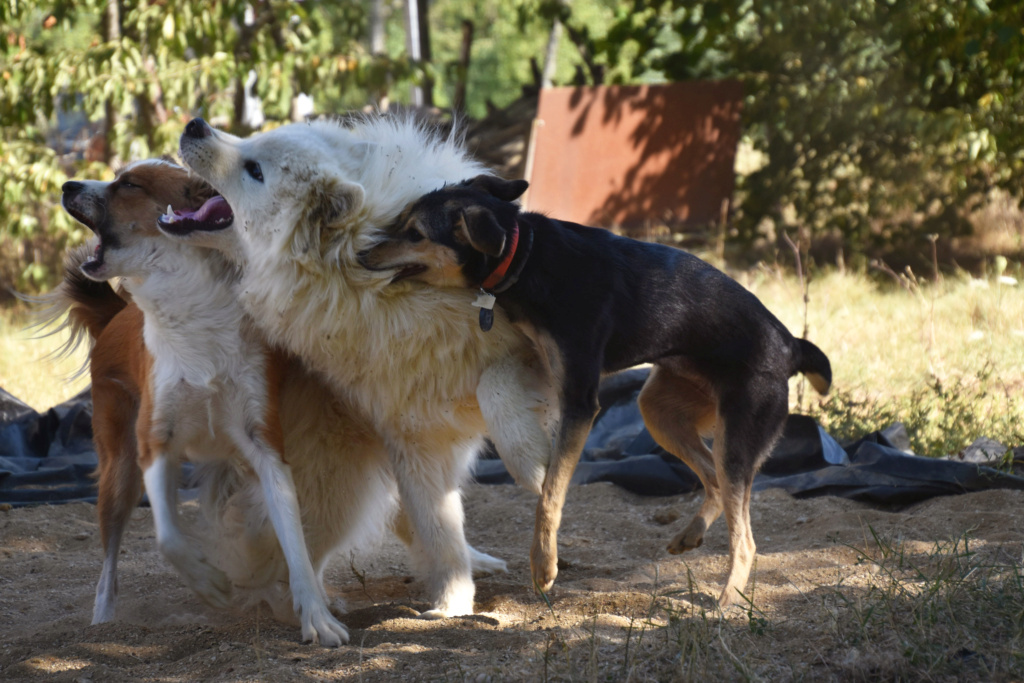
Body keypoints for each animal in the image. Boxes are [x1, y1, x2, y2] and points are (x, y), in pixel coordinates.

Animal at [175, 117, 552, 618]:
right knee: (291, 552)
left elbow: (495, 387)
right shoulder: (414, 437)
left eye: (255, 168)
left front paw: (532, 467)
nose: (195, 124)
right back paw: (318, 606)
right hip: (338, 481)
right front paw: (452, 603)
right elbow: (436, 525)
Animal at [360, 175, 831, 602]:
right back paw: (690, 536)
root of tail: (790, 344)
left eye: (415, 233)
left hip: (736, 440)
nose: (362, 253)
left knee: (745, 537)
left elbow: (550, 493)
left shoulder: (580, 401)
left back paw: (727, 601)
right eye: (399, 221)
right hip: (659, 411)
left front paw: (544, 565)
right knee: (713, 482)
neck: (524, 254)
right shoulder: (542, 366)